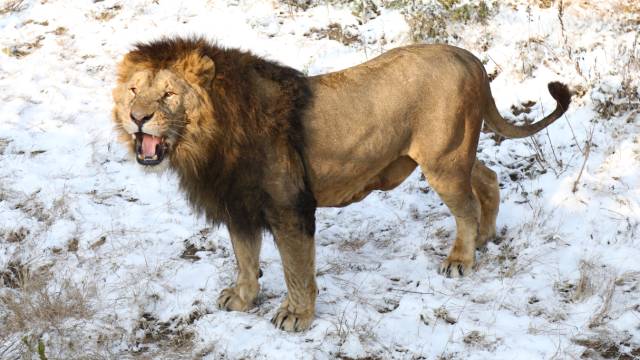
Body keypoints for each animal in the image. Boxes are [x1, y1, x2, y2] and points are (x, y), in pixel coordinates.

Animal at [112, 36, 572, 332]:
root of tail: (467, 56)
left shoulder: (290, 207)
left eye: (169, 94)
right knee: (488, 179)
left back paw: (461, 257)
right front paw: (241, 299)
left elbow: (297, 269)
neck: (206, 142)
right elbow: (245, 258)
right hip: (450, 157)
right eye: (133, 90)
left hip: (443, 160)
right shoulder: (239, 206)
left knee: (467, 207)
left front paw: (295, 317)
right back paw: (485, 237)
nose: (137, 118)